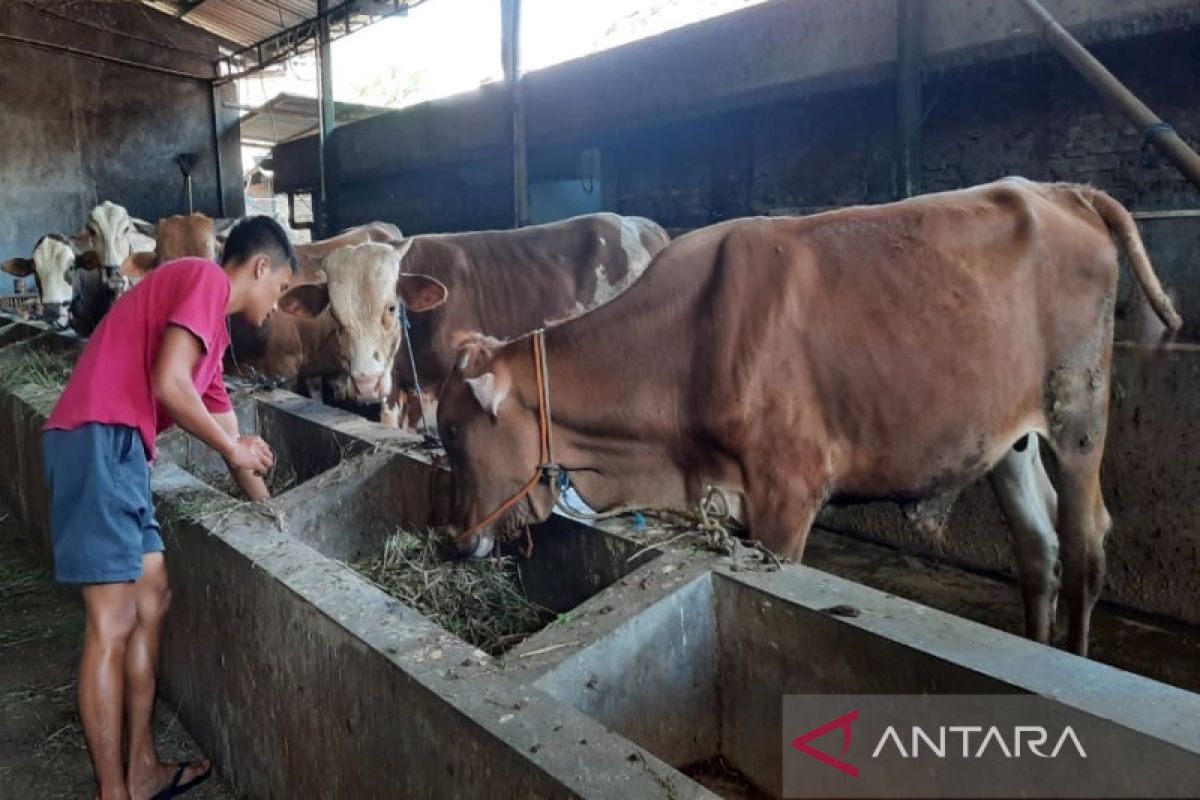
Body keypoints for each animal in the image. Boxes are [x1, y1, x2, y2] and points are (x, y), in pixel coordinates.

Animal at [434, 179, 1180, 657]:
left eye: (453, 431)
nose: (453, 542)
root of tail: (1063, 190)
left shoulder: (786, 495)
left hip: (1078, 414)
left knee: (1085, 546)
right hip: (1008, 438)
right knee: (1037, 547)